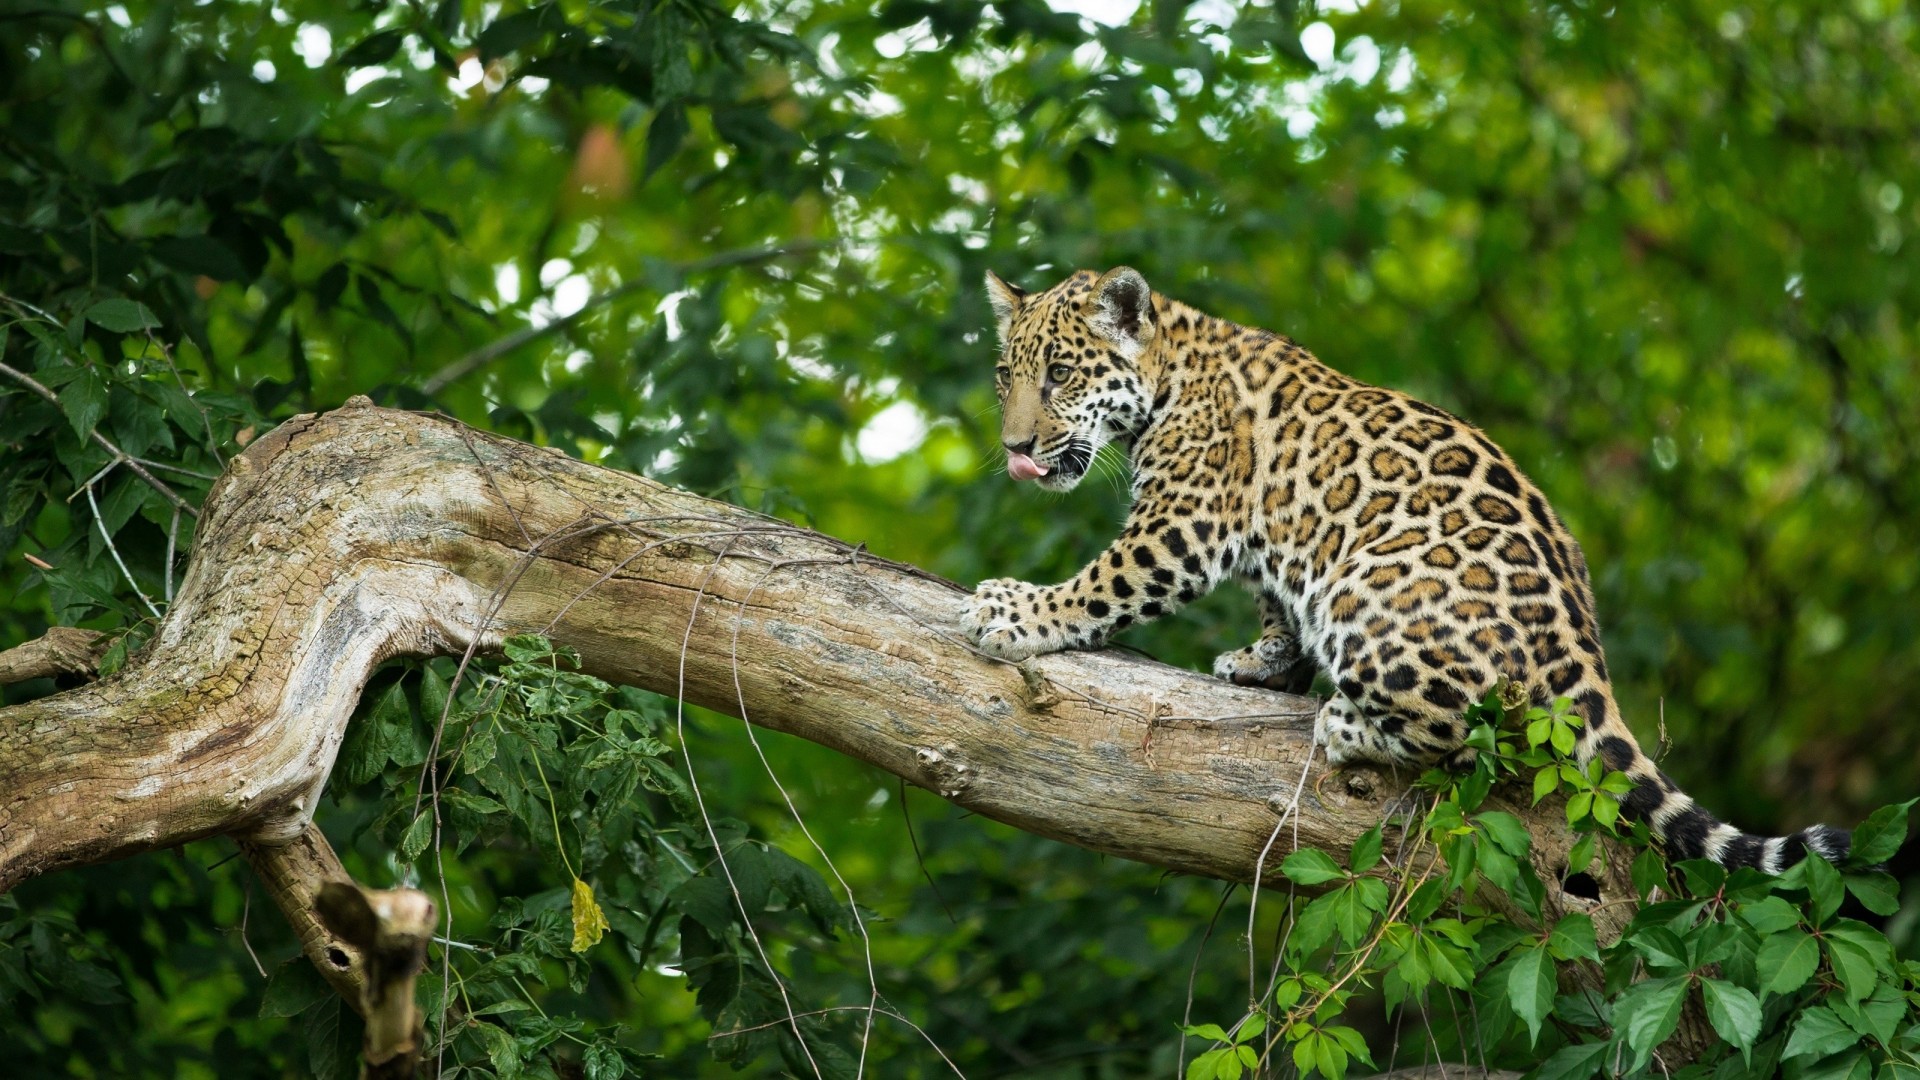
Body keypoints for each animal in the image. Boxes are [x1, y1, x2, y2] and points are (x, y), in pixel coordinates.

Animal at [961, 265, 1850, 872]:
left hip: (1369, 586)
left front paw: (1013, 613)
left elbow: (1100, 584)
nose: (1015, 447)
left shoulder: (1180, 524)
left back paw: (1346, 724)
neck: (1170, 372)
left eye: (1062, 374)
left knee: (1479, 733)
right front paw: (1263, 660)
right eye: (1007, 376)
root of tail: (1583, 650)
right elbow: (1274, 604)